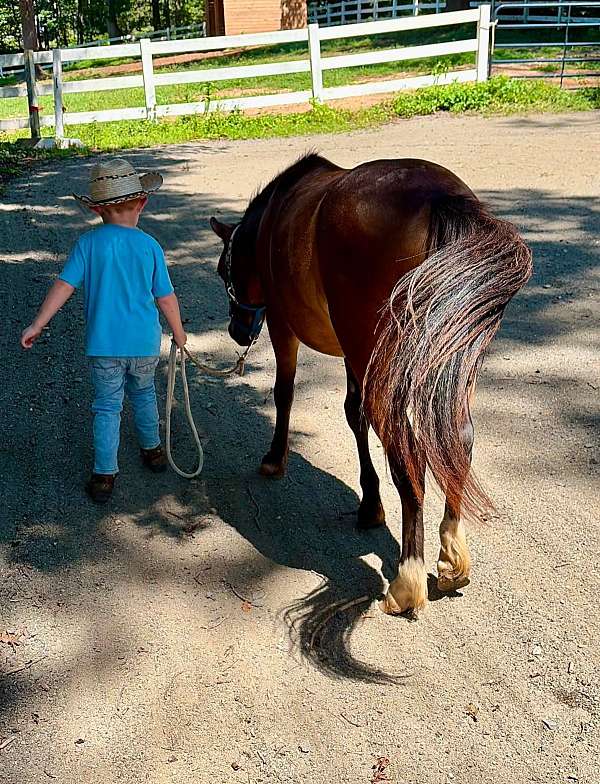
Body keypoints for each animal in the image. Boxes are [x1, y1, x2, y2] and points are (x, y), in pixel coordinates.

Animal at [209, 153, 532, 618]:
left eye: (225, 271)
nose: (237, 331)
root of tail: (437, 197)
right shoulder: (353, 355)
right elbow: (354, 413)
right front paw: (370, 503)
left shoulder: (284, 328)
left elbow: (286, 394)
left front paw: (275, 458)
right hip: (446, 365)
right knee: (458, 439)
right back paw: (451, 556)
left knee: (407, 451)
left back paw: (407, 579)